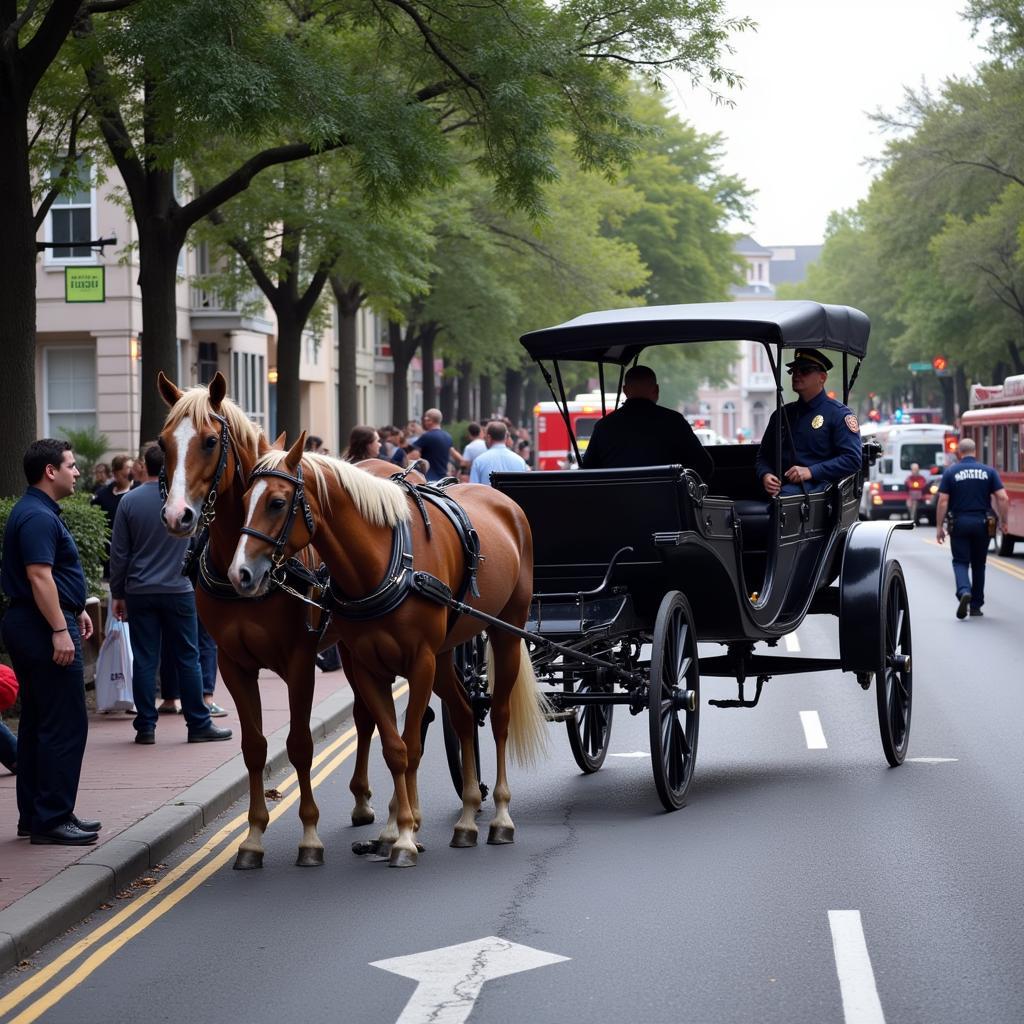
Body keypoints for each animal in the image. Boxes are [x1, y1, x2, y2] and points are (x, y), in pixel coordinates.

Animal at [155, 372, 403, 868]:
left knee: (368, 717)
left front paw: (308, 835)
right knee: (366, 716)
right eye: (163, 443)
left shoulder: (299, 660)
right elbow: (254, 748)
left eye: (209, 441)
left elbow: (300, 745)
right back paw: (362, 800)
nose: (177, 516)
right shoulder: (233, 663)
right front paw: (252, 836)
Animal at [224, 430, 544, 864]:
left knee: (499, 718)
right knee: (463, 716)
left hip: (506, 633)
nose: (240, 573)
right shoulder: (369, 665)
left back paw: (500, 817)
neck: (380, 565)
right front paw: (398, 832)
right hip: (446, 655)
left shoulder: (419, 662)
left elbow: (411, 744)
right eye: (242, 502)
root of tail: (503, 501)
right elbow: (394, 747)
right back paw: (466, 816)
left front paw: (405, 835)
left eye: (276, 502)